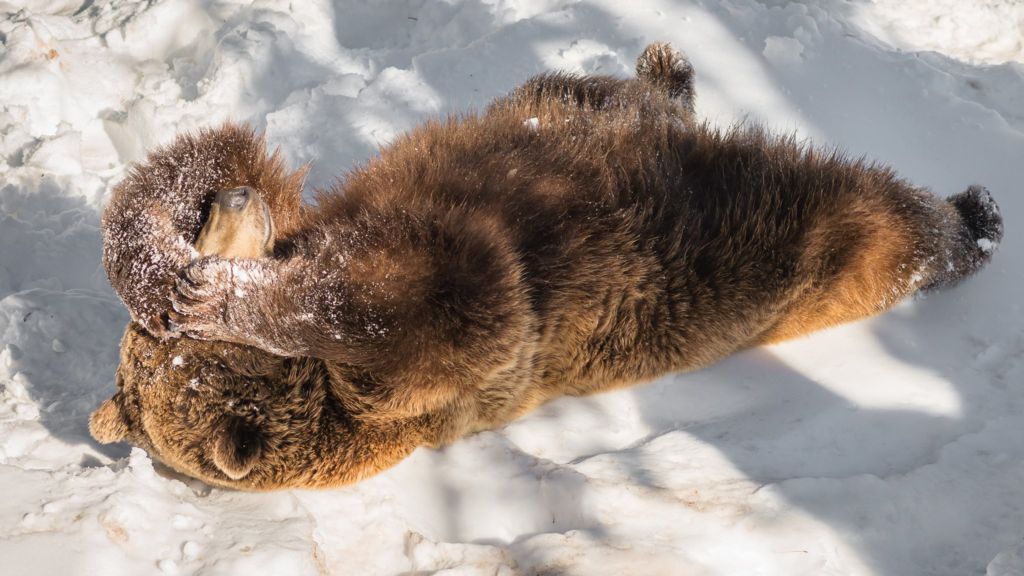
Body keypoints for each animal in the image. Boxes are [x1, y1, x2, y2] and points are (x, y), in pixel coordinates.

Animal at [90, 43, 1003, 490]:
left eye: (144, 339)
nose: (233, 207)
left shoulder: (327, 213)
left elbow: (199, 159)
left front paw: (178, 276)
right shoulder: (448, 354)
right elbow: (439, 302)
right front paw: (222, 294)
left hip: (562, 110)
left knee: (598, 88)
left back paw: (668, 68)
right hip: (758, 241)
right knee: (873, 226)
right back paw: (971, 218)